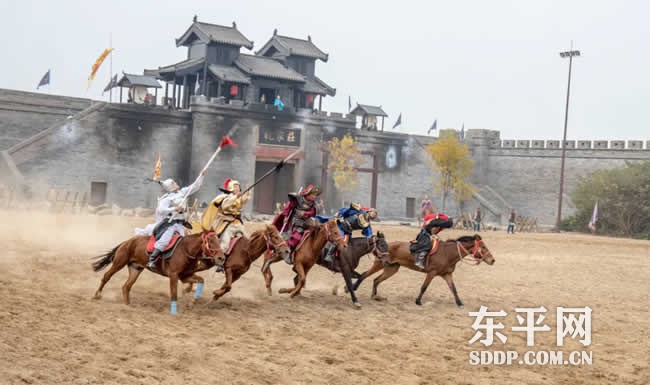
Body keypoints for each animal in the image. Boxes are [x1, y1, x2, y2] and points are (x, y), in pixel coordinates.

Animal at [91, 230, 223, 314]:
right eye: (210, 241)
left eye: (219, 240)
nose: (221, 258)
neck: (186, 250)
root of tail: (127, 242)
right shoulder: (174, 276)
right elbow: (173, 294)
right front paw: (174, 311)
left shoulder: (185, 276)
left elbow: (201, 280)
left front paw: (193, 301)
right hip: (119, 263)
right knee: (107, 276)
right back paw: (97, 295)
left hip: (135, 269)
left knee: (126, 286)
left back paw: (127, 305)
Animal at [352, 234, 494, 306]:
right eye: (484, 247)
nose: (492, 260)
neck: (448, 253)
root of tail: (384, 246)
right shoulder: (432, 273)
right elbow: (424, 287)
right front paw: (418, 301)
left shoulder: (447, 274)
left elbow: (453, 289)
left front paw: (459, 303)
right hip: (379, 265)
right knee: (364, 275)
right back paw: (352, 288)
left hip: (391, 269)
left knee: (376, 280)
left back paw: (375, 296)